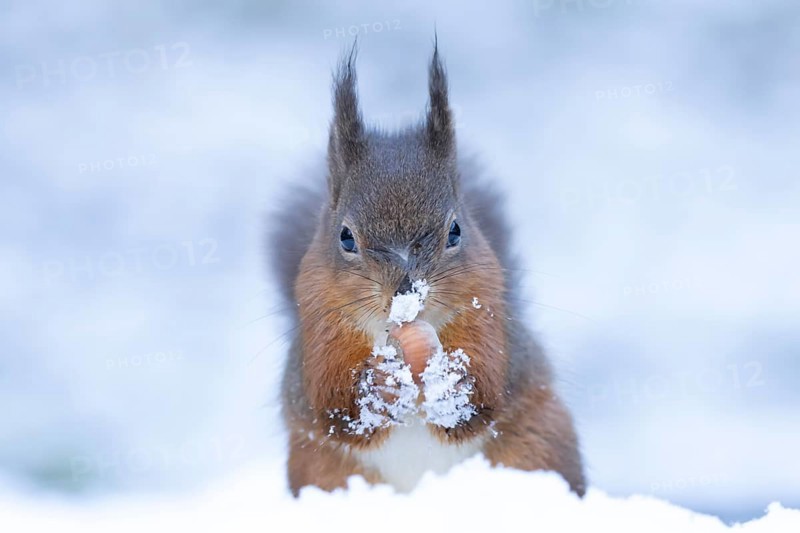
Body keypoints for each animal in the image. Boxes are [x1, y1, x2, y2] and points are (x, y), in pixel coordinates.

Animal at [268, 42, 586, 497]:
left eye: (455, 230)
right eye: (345, 237)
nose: (405, 293)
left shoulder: (488, 315)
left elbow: (487, 387)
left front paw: (450, 381)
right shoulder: (319, 331)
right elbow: (332, 401)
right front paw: (377, 386)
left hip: (538, 443)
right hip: (321, 471)